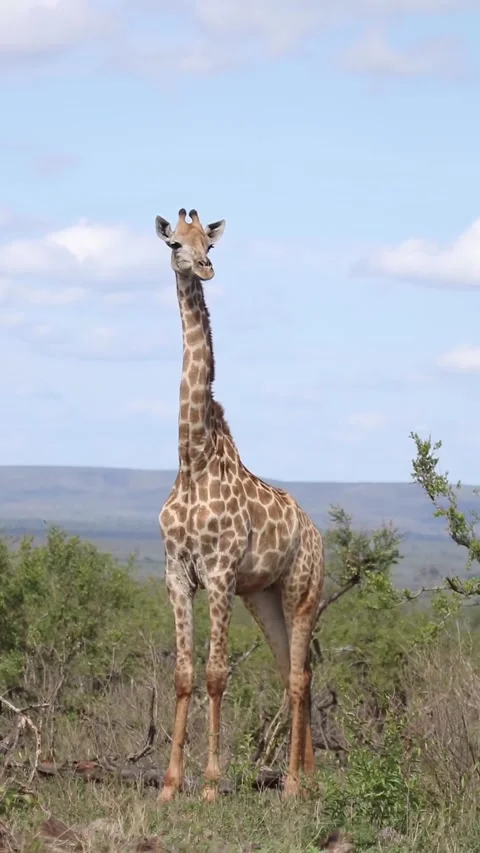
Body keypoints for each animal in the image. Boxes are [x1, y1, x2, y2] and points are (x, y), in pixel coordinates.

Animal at [155, 208, 324, 803]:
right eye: (175, 244)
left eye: (209, 243)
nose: (204, 267)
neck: (192, 460)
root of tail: (317, 533)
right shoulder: (177, 572)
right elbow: (184, 674)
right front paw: (168, 787)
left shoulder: (220, 571)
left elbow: (216, 674)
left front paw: (208, 786)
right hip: (264, 596)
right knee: (291, 671)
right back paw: (309, 778)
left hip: (302, 590)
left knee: (297, 675)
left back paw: (294, 785)